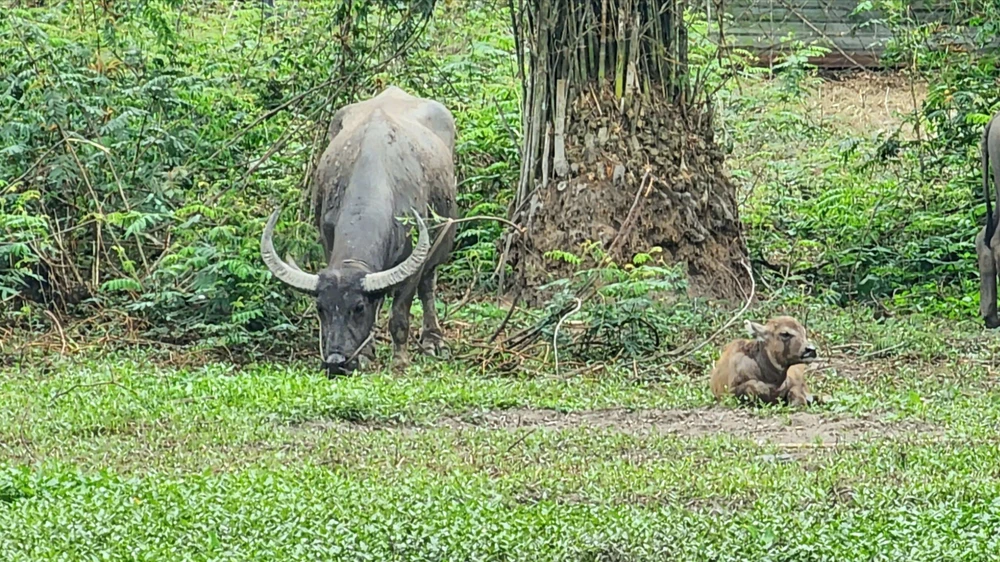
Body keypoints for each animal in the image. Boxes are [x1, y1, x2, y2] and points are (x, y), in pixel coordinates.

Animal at [260, 86, 458, 372]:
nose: (335, 361)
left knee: (428, 286)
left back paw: (433, 341)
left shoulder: (413, 263)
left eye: (358, 307)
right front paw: (365, 354)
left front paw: (400, 360)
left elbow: (400, 312)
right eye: (321, 308)